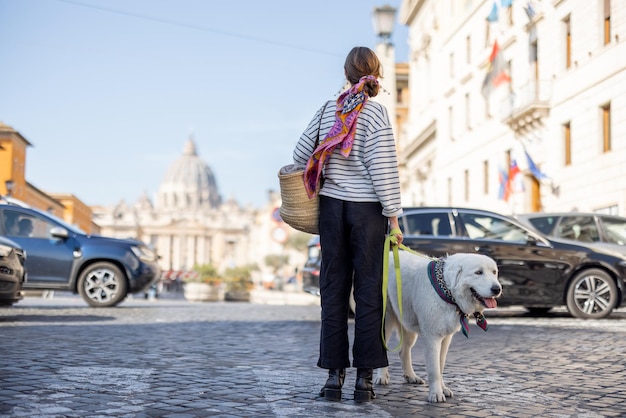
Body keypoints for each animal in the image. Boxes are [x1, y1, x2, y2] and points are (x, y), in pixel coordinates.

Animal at [372, 250, 500, 404]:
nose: (497, 289)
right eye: (478, 272)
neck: (447, 290)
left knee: (404, 351)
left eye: (494, 272)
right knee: (382, 348)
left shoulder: (445, 338)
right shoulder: (432, 337)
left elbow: (440, 366)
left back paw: (411, 376)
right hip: (386, 322)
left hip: (408, 325)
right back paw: (381, 376)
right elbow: (434, 370)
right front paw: (436, 394)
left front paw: (442, 389)